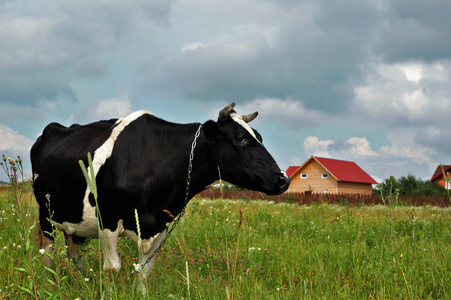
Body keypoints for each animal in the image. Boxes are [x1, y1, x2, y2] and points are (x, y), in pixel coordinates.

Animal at [32, 102, 294, 278]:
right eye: (240, 138)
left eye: (259, 137)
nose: (283, 179)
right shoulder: (107, 219)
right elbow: (112, 269)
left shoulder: (161, 224)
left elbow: (144, 270)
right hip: (45, 214)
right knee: (48, 253)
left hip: (74, 220)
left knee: (74, 253)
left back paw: (80, 280)